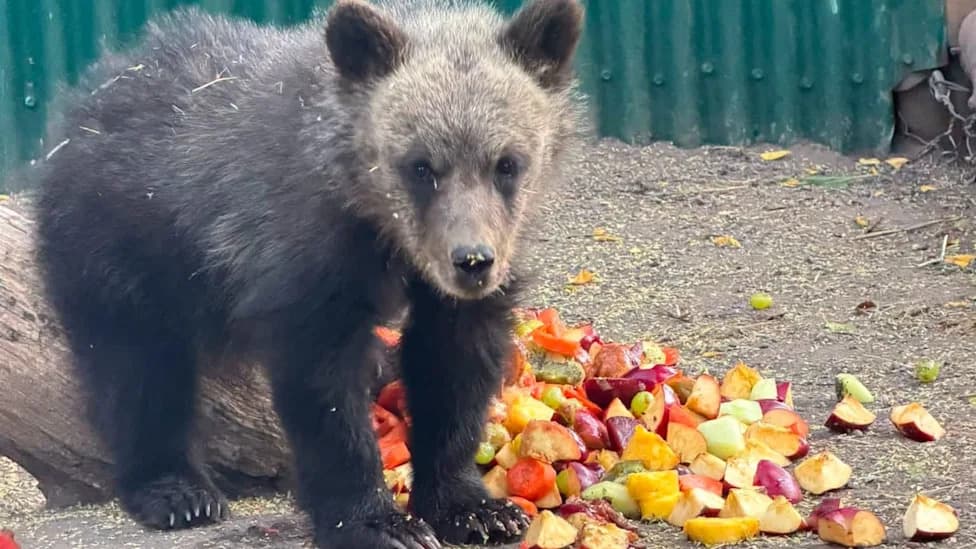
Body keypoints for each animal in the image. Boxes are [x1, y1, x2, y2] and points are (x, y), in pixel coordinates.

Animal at [29, 0, 585, 547]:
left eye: (507, 163)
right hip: (123, 248)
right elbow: (326, 397)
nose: (472, 261)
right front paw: (377, 522)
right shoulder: (302, 264)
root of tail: (84, 101)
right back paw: (175, 489)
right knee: (137, 367)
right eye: (420, 166)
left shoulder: (456, 295)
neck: (376, 226)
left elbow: (454, 371)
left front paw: (472, 507)